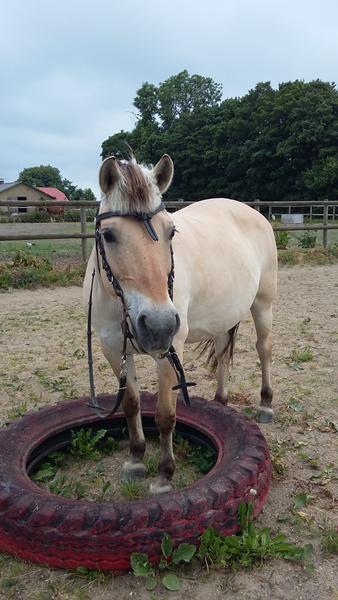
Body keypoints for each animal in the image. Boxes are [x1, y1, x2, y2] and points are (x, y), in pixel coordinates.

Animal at [82, 154, 278, 492]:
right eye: (108, 235)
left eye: (171, 232)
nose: (158, 324)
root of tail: (252, 212)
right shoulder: (113, 349)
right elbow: (131, 404)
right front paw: (135, 460)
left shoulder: (170, 352)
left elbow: (165, 416)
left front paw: (164, 475)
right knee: (223, 354)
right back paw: (220, 403)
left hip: (262, 304)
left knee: (263, 348)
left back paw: (265, 404)